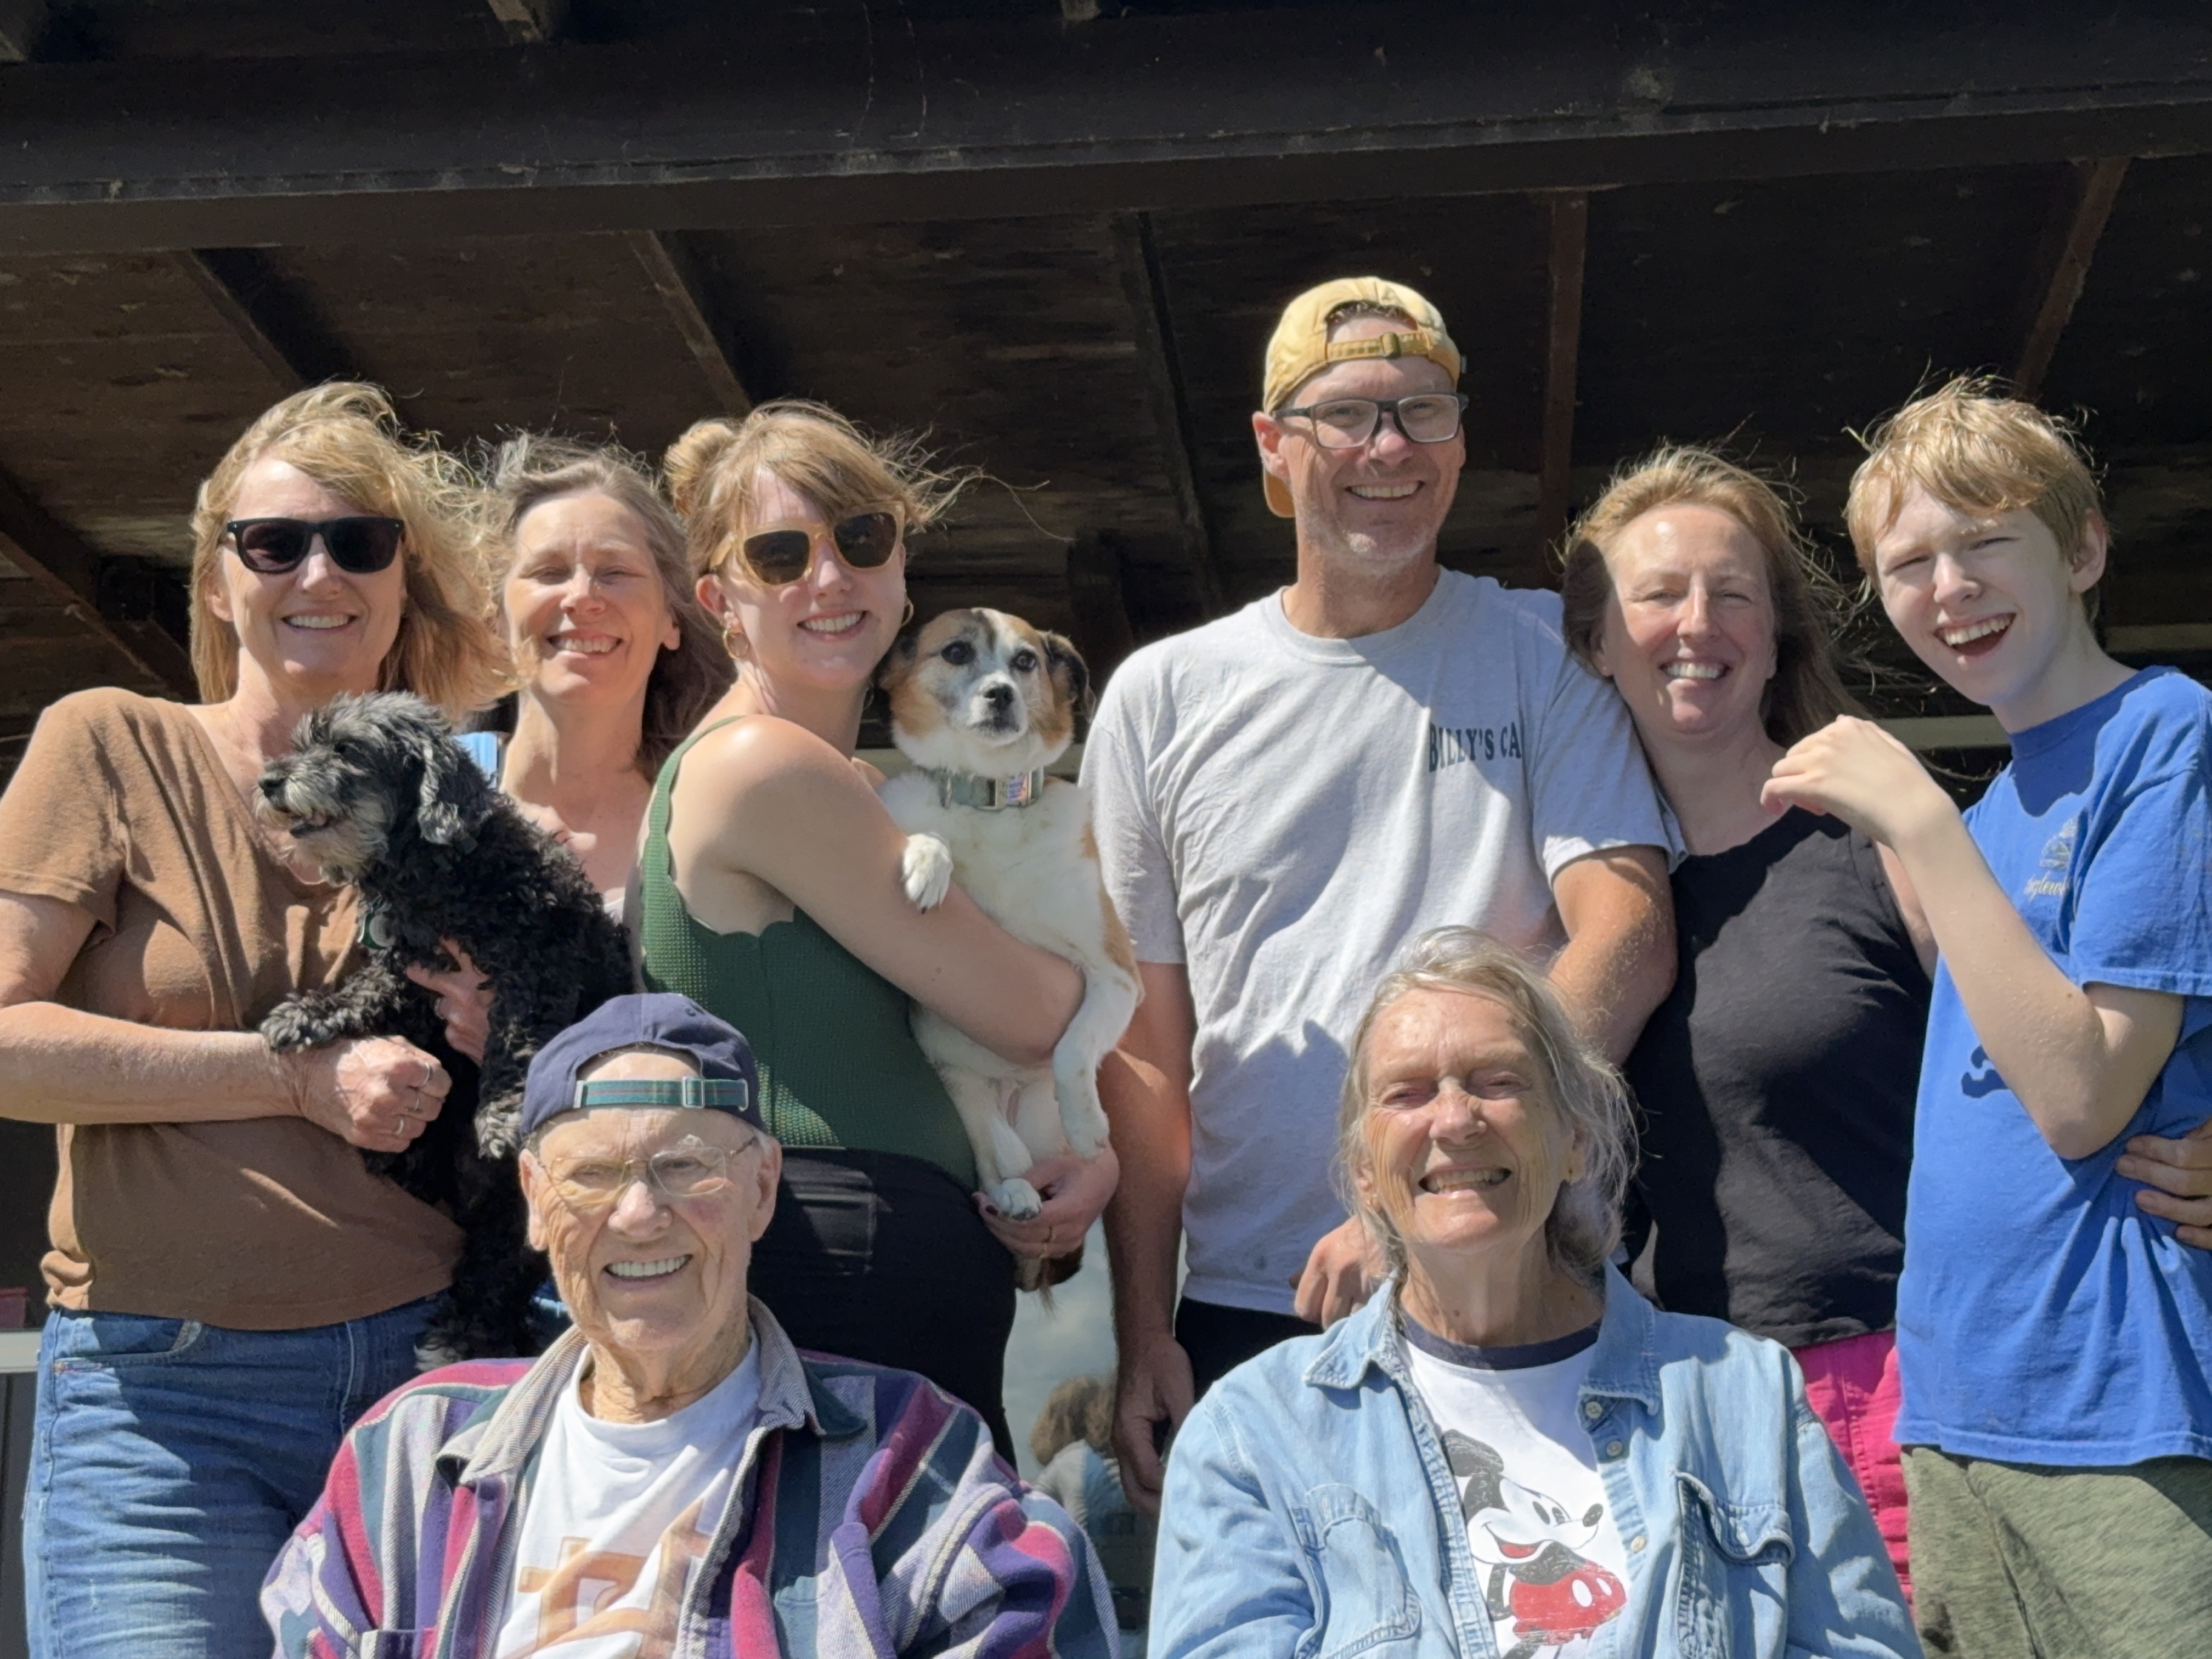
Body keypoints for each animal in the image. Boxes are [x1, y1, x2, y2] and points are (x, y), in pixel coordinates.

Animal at [255, 692, 634, 1361]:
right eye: (301, 744)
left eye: (345, 749)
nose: (269, 781)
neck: (439, 872)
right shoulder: (408, 975)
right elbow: (366, 992)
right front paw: (310, 1014)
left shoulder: (541, 959)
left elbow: (516, 1036)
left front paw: (502, 1111)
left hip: (518, 1216)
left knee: (495, 1278)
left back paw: (460, 1338)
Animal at [876, 609, 1141, 1291]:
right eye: (957, 652)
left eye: (1027, 662)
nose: (1002, 694)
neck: (992, 801)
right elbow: (930, 832)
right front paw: (928, 862)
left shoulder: (1116, 975)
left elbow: (1075, 1049)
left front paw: (1090, 1123)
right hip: (963, 1092)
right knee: (997, 1161)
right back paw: (1015, 1192)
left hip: (1035, 1117)